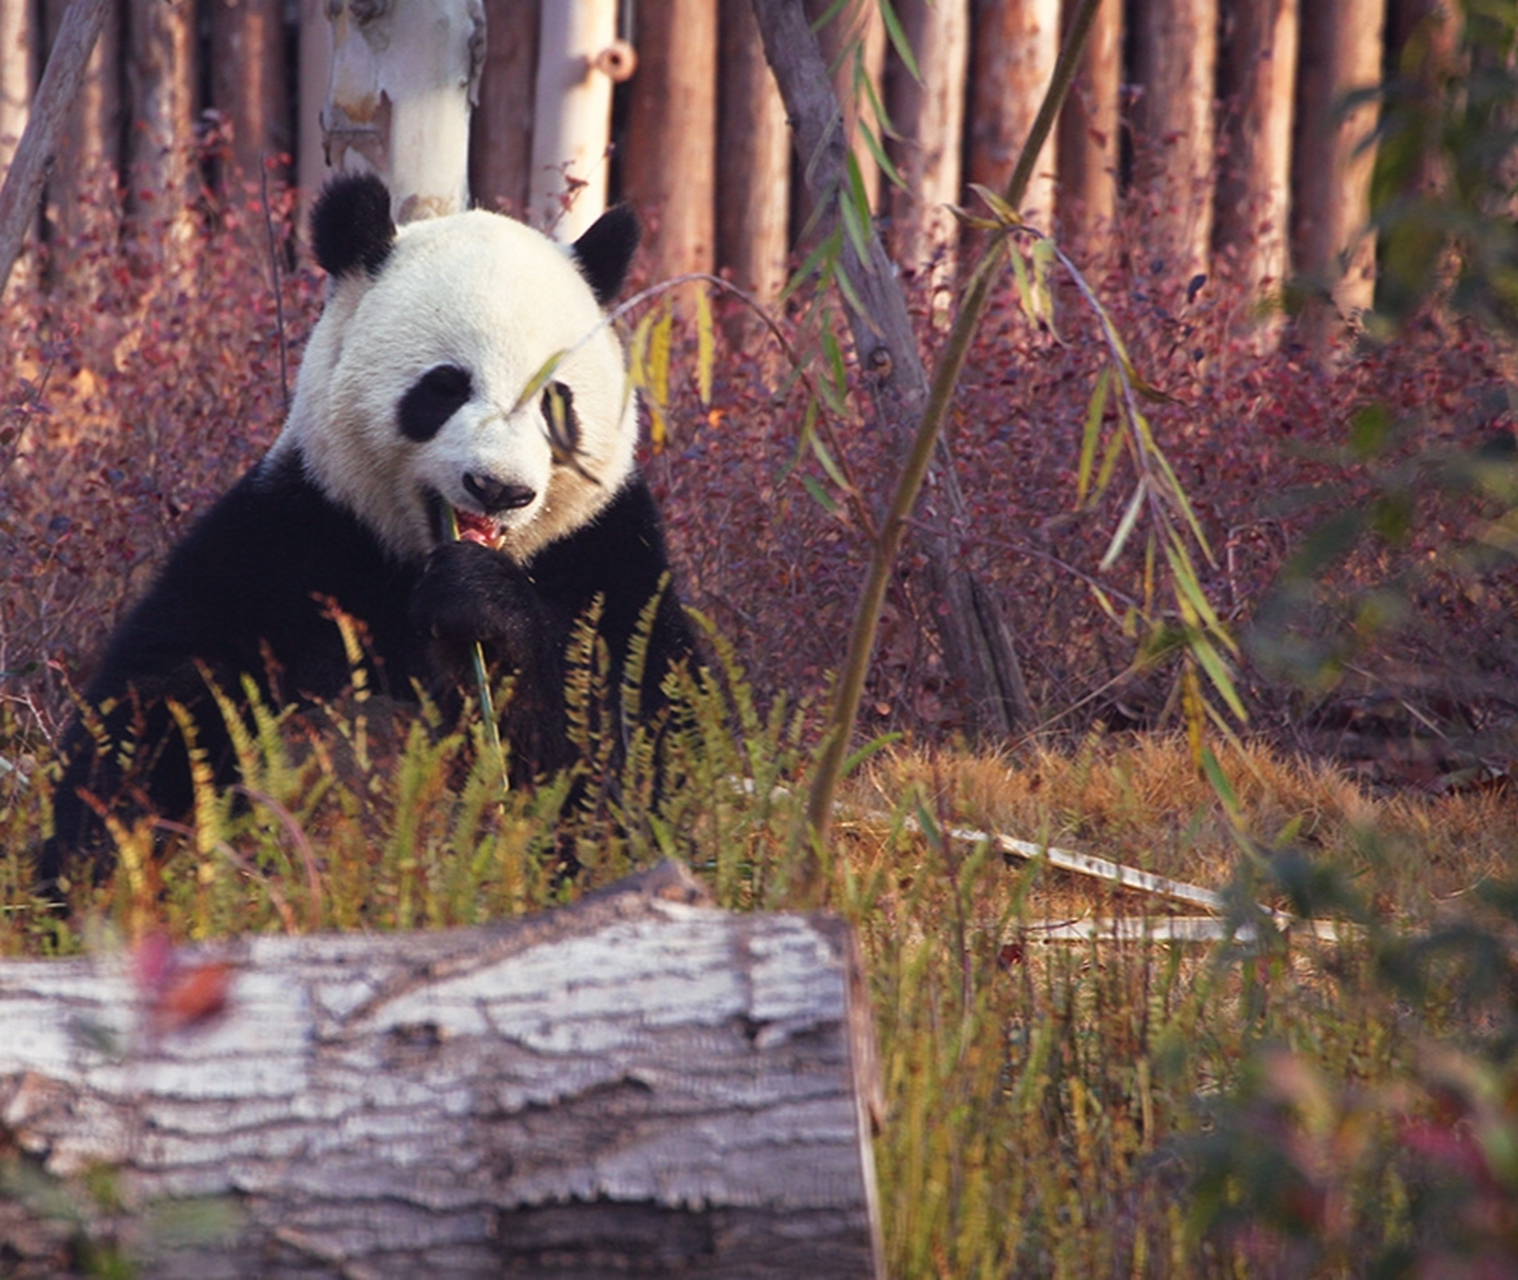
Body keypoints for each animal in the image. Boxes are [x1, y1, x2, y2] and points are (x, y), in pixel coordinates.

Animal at [41, 172, 695, 892]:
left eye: (556, 400)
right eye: (444, 386)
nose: (498, 488)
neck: (418, 556)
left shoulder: (610, 556)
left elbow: (644, 748)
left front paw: (482, 607)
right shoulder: (293, 534)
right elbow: (162, 698)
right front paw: (103, 867)